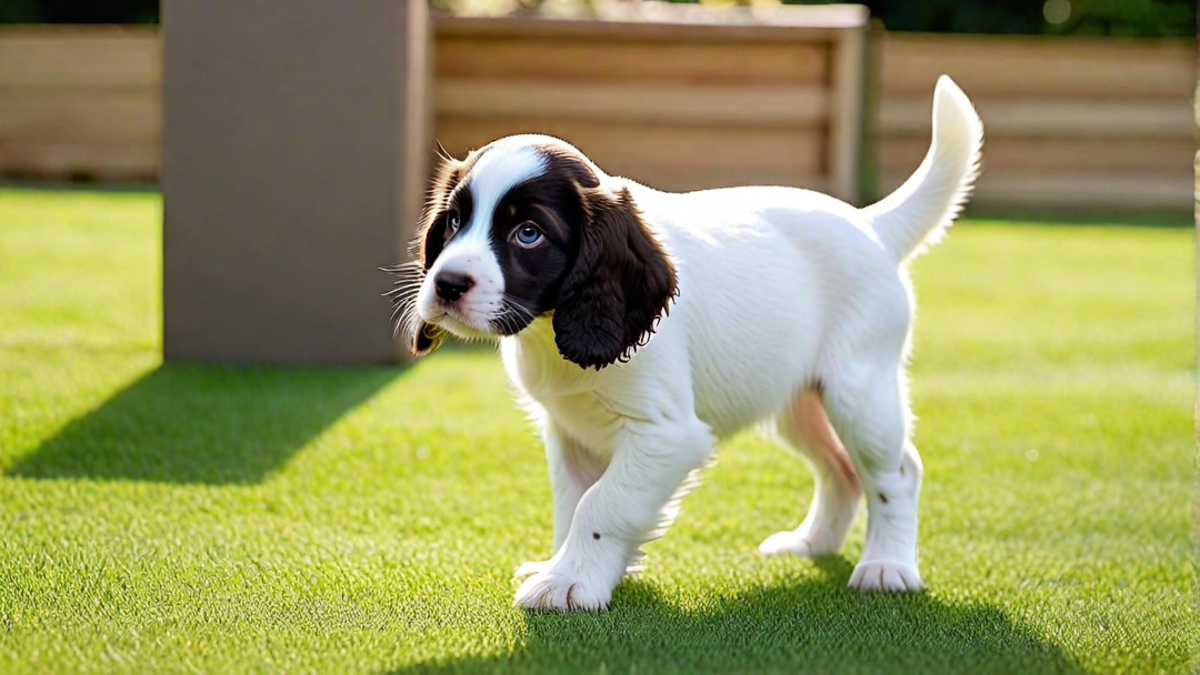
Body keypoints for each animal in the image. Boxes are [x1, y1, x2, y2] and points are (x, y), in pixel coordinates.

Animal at [391, 74, 984, 610]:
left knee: (897, 472)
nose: (446, 285)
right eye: (453, 221)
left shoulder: (666, 434)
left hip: (858, 390)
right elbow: (572, 502)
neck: (551, 333)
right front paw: (572, 566)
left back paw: (887, 566)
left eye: (528, 233)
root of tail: (872, 224)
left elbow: (603, 504)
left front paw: (570, 582)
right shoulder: (570, 430)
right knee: (841, 469)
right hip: (796, 399)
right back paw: (812, 543)